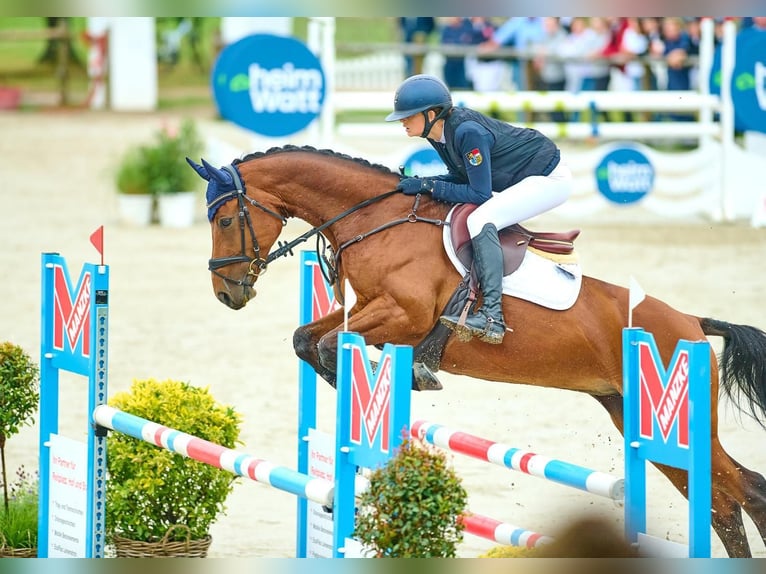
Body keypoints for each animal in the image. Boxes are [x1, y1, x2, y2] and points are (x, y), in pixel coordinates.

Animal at [187, 145, 766, 558]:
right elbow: (305, 338)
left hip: (678, 419)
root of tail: (692, 323)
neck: (376, 221)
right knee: (723, 501)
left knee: (743, 491)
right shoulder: (369, 309)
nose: (225, 292)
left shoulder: (402, 316)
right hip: (631, 414)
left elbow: (329, 343)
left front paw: (388, 379)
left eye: (224, 220)